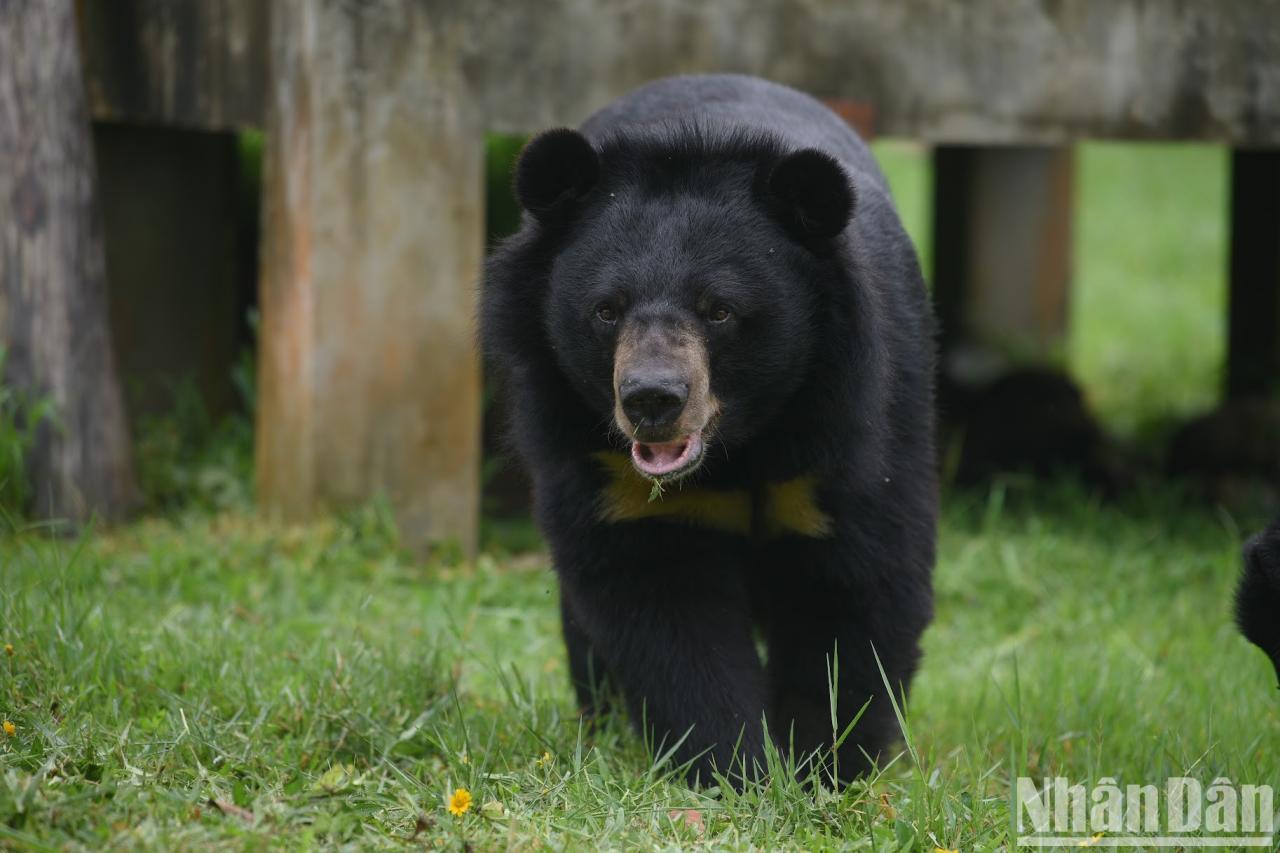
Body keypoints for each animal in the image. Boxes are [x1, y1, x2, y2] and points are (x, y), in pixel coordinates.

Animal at [483, 74, 936, 783]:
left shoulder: (855, 425)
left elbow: (858, 587)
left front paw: (825, 769)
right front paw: (737, 769)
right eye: (606, 310)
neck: (741, 445)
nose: (652, 399)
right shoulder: (605, 467)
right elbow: (661, 606)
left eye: (719, 310)